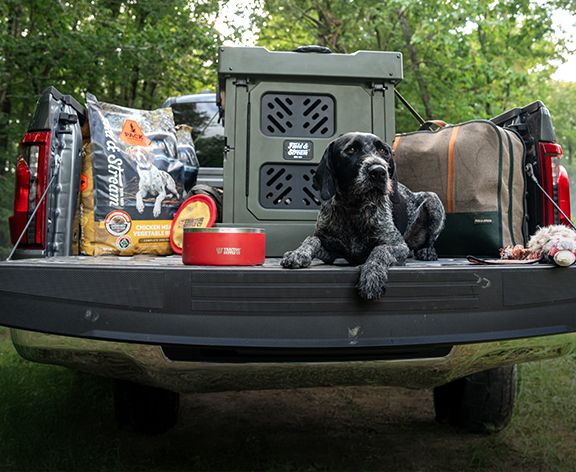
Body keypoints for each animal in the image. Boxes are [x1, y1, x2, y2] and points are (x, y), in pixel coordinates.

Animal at [281, 132, 445, 300]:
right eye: (351, 149)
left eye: (383, 151)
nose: (378, 171)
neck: (354, 208)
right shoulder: (331, 251)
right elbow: (312, 239)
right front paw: (298, 253)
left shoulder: (398, 245)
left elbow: (380, 250)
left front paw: (372, 276)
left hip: (433, 200)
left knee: (429, 240)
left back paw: (428, 251)